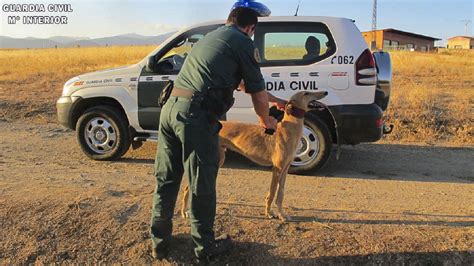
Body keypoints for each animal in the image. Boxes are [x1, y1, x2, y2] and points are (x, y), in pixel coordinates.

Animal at [180, 90, 328, 221]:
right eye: (306, 93)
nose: (325, 92)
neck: (287, 129)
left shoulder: (285, 169)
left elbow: (280, 194)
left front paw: (282, 215)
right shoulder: (277, 169)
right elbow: (272, 193)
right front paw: (269, 213)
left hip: (219, 159)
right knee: (187, 187)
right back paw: (184, 212)